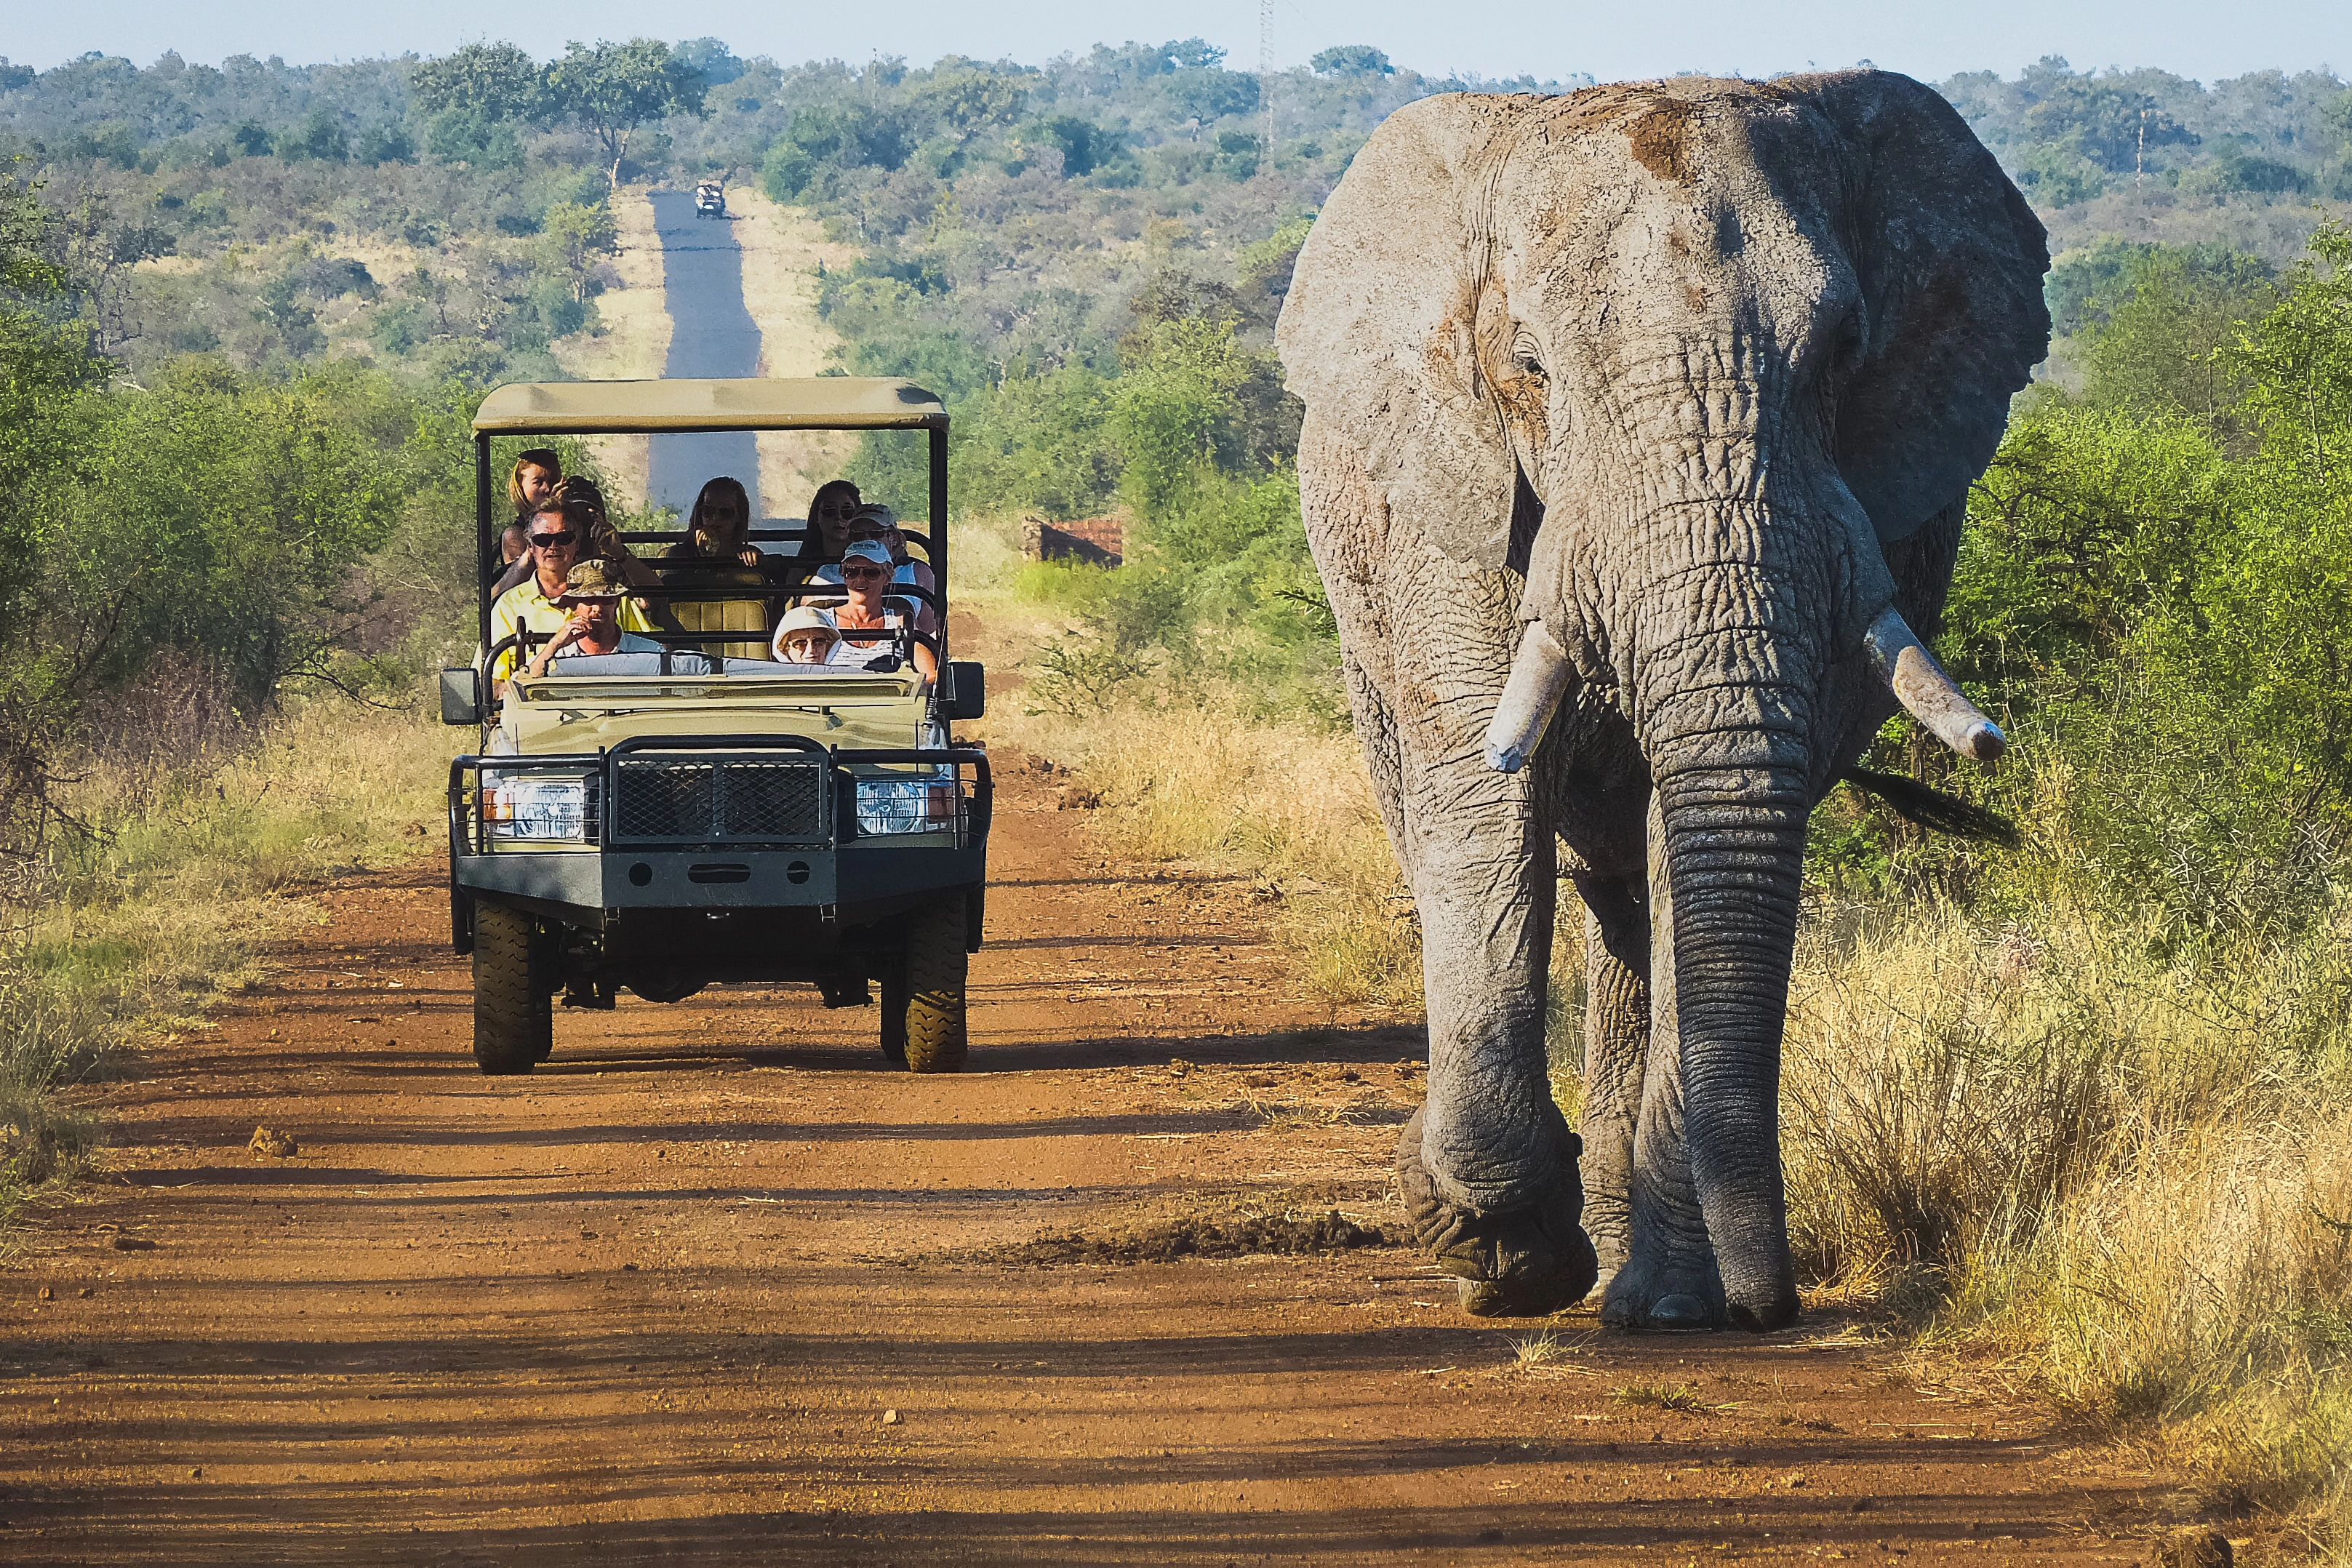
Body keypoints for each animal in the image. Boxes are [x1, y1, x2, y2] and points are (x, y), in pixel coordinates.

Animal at [1272, 70, 2048, 1332]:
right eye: (1527, 368)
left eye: (1843, 350)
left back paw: (1649, 1286)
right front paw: (1498, 1248)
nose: (1772, 1305)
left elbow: (1703, 838)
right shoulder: (1462, 502)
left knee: (1635, 886)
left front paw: (1655, 1295)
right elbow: (1485, 805)